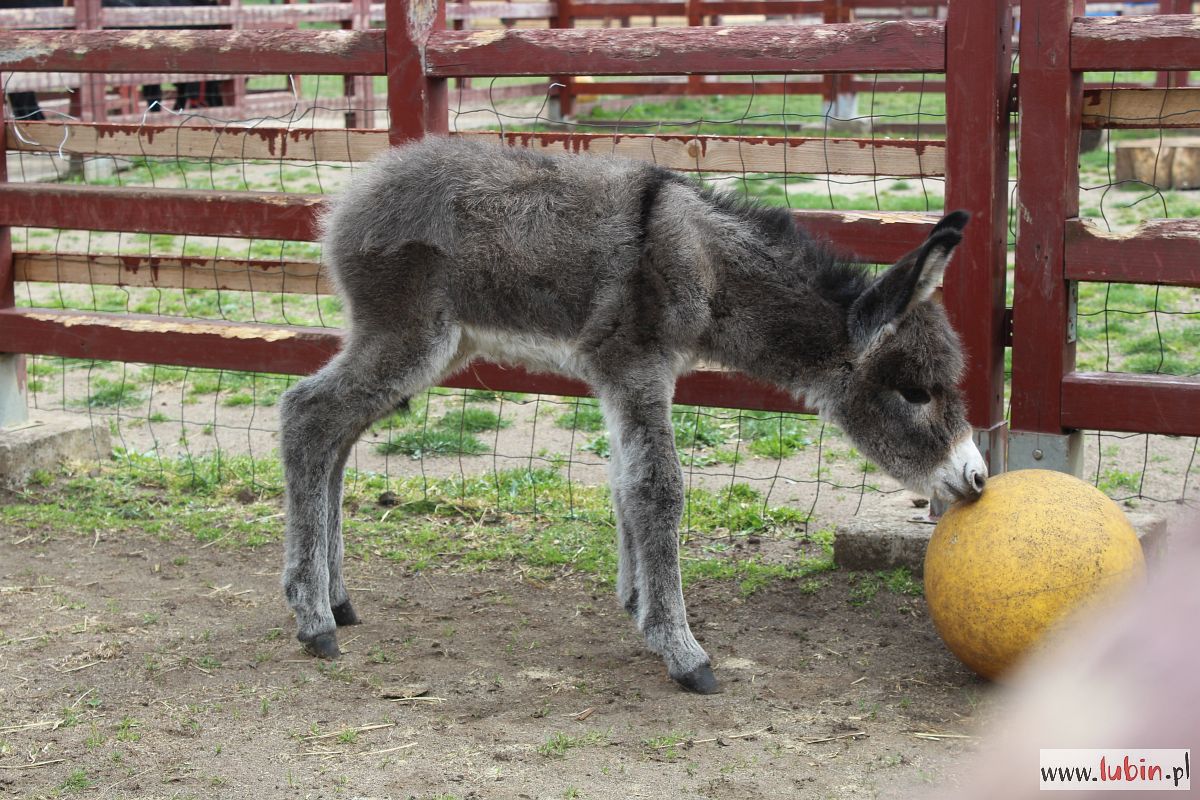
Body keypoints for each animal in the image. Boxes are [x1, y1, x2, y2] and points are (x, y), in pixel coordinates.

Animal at [278, 137, 984, 695]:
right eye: (916, 394)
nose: (977, 480)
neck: (705, 263)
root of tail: (354, 194)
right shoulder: (636, 366)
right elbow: (657, 489)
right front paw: (681, 649)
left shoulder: (628, 379)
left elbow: (625, 485)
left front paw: (639, 602)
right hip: (409, 338)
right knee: (306, 415)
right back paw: (313, 619)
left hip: (437, 346)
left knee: (335, 436)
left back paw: (335, 598)